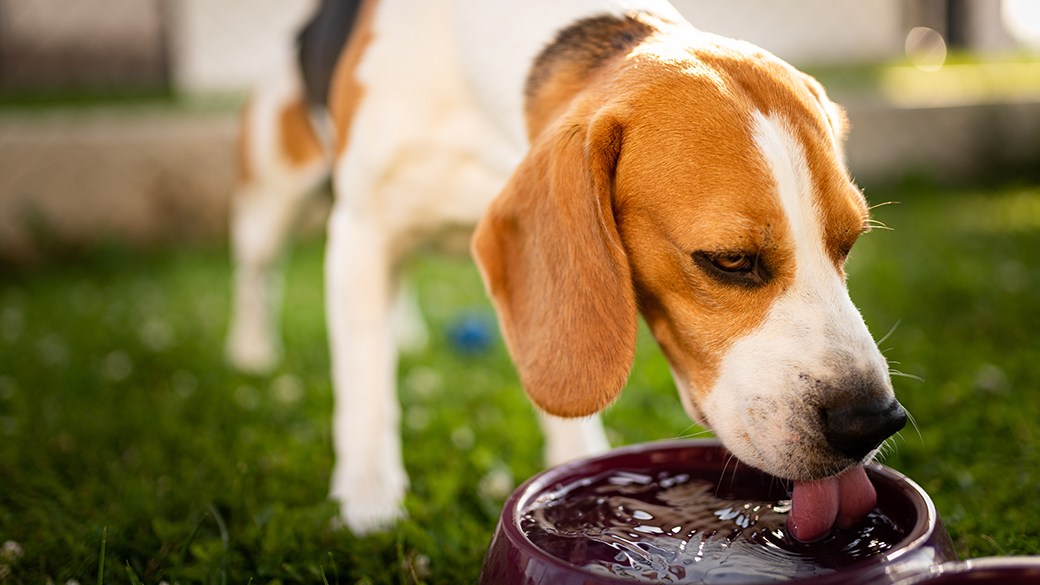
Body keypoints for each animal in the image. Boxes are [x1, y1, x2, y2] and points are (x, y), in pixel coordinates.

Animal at [223, 0, 906, 541]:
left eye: (848, 244)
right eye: (729, 260)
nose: (873, 421)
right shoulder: (362, 230)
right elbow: (365, 385)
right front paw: (368, 501)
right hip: (274, 196)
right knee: (257, 273)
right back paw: (251, 351)